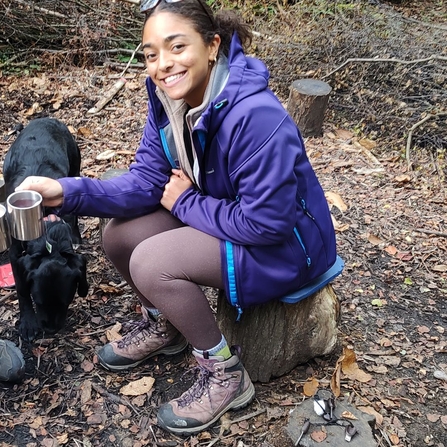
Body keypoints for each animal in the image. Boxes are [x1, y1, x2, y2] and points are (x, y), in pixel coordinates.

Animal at [3, 117, 88, 342]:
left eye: (65, 302)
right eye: (38, 301)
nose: (50, 330)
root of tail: (46, 118)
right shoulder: (16, 255)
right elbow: (22, 290)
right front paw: (28, 323)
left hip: (75, 166)